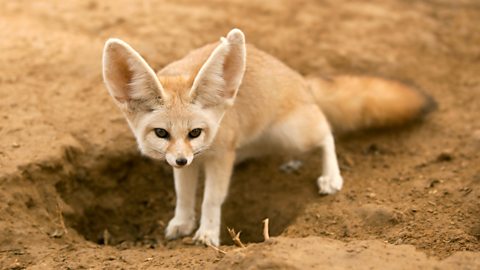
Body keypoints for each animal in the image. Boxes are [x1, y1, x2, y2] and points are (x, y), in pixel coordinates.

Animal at [103, 28, 434, 246]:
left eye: (195, 132)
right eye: (162, 133)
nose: (182, 159)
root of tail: (301, 80)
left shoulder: (220, 156)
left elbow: (211, 199)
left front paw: (208, 233)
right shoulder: (191, 162)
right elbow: (184, 195)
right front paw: (182, 223)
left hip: (293, 132)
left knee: (326, 131)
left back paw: (331, 176)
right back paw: (291, 162)